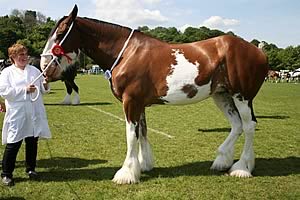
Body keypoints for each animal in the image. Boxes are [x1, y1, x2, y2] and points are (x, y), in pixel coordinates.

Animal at [40, 5, 270, 184]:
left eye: (60, 34)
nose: (44, 66)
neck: (127, 53)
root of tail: (258, 51)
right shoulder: (139, 103)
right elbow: (142, 132)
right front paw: (143, 165)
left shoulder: (130, 102)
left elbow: (131, 135)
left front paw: (126, 174)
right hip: (222, 95)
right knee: (237, 125)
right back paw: (223, 160)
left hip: (242, 96)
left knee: (249, 126)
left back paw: (242, 167)